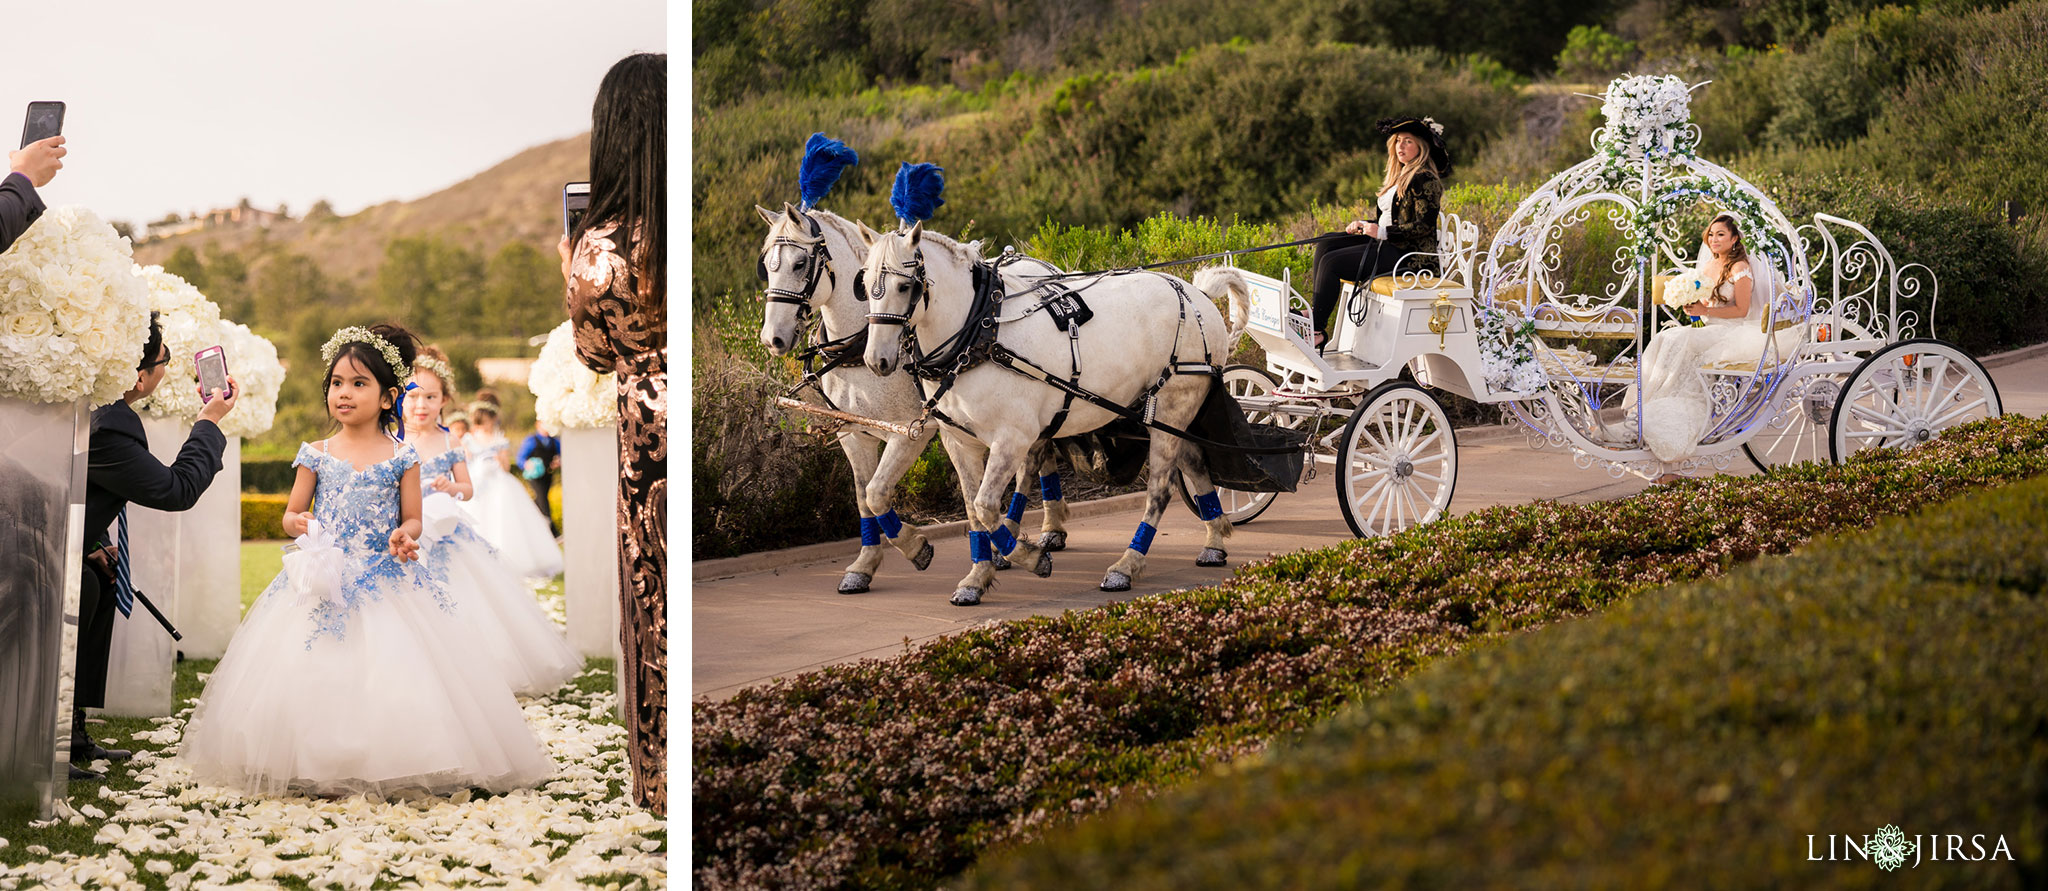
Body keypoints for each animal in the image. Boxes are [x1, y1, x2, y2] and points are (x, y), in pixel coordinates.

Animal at [753, 203, 1073, 594]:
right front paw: (865, 564)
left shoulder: (911, 431)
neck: (863, 340)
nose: (773, 339)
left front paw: (915, 546)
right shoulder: (852, 432)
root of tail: (1043, 266)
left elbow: (877, 492)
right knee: (1039, 451)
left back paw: (1022, 537)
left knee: (1029, 463)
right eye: (766, 265)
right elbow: (863, 496)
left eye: (800, 264)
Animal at [860, 220, 1253, 602]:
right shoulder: (959, 441)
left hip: (1174, 403)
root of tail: (1195, 293)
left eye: (905, 285)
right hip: (1163, 414)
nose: (877, 360)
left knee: (1160, 488)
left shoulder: (1012, 438)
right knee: (1194, 462)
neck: (981, 334)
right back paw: (1215, 540)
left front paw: (1031, 558)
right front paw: (975, 575)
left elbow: (987, 506)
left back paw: (1127, 565)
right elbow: (971, 511)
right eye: (863, 286)